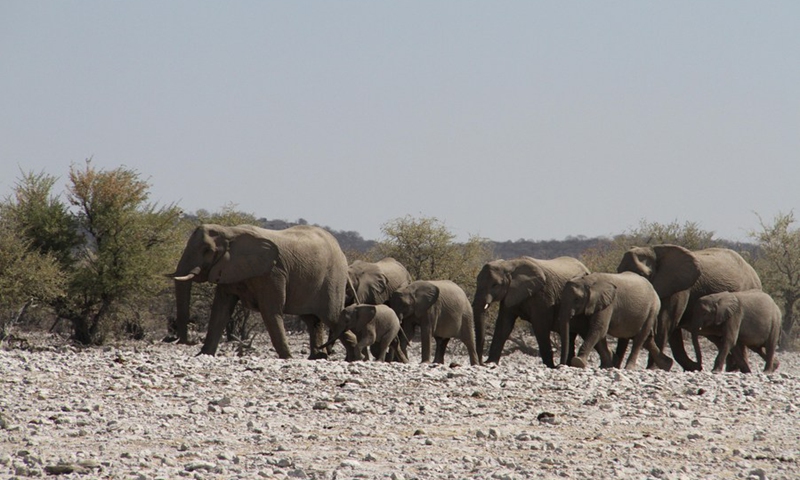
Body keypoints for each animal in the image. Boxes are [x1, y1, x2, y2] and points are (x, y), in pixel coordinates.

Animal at [166, 223, 354, 358]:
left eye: (207, 250)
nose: (190, 341)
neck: (229, 231)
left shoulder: (272, 273)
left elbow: (270, 311)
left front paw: (287, 358)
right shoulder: (228, 269)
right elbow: (220, 310)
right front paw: (204, 355)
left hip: (333, 279)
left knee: (332, 318)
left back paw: (354, 357)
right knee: (312, 321)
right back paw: (319, 357)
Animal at [620, 244, 764, 372]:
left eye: (643, 274)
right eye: (618, 271)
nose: (699, 366)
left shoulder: (679, 289)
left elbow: (665, 323)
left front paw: (652, 368)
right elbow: (673, 332)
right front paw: (691, 367)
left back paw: (736, 370)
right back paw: (731, 369)